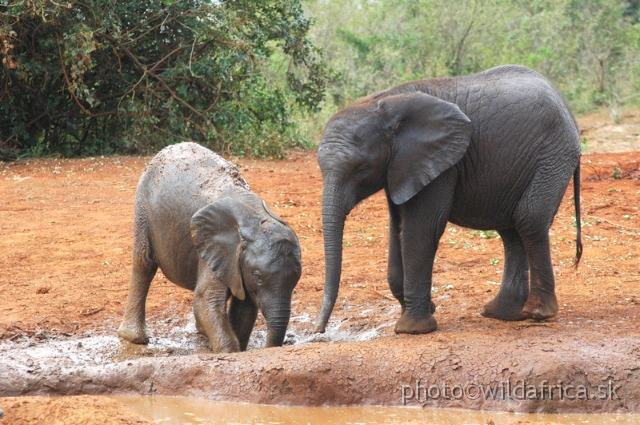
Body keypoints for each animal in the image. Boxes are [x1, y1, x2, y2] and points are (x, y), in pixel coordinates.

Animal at [117, 142, 302, 352]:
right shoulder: (215, 247)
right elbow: (206, 299)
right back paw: (134, 338)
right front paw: (230, 353)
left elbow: (245, 308)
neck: (256, 219)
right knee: (144, 262)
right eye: (257, 276)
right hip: (143, 206)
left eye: (297, 278)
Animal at [312, 64, 584, 334]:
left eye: (362, 169)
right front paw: (425, 310)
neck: (384, 103)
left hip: (554, 154)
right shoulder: (402, 167)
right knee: (511, 230)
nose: (319, 330)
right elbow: (397, 229)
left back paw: (538, 313)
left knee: (529, 219)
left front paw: (412, 329)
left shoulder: (441, 164)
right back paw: (502, 313)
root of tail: (566, 107)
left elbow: (422, 229)